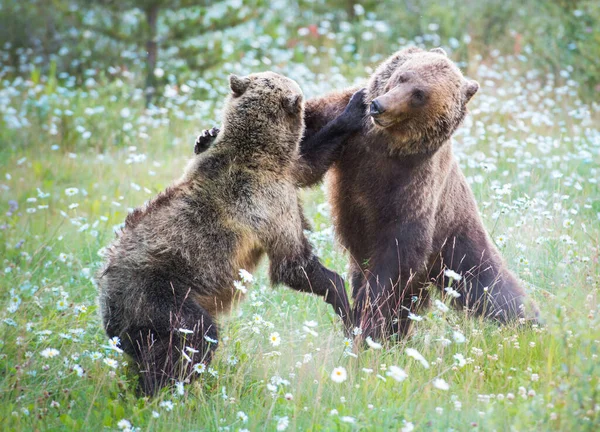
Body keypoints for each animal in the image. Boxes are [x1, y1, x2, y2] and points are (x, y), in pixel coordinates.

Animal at [97, 71, 366, 394]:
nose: (314, 105)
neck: (253, 151)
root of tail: (106, 298)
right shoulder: (265, 204)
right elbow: (294, 264)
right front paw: (344, 305)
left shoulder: (280, 174)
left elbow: (311, 161)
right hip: (158, 295)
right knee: (193, 336)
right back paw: (168, 389)